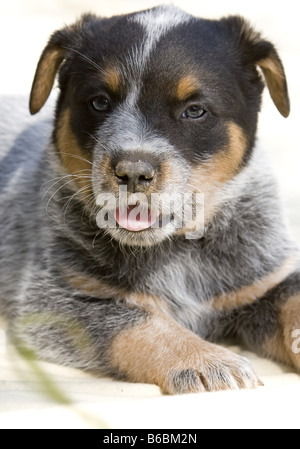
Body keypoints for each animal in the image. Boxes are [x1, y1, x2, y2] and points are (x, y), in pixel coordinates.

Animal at [0, 5, 300, 394]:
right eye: (100, 102)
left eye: (195, 110)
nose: (132, 172)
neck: (179, 252)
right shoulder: (58, 299)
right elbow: (139, 322)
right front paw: (207, 360)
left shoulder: (262, 282)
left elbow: (293, 303)